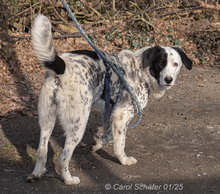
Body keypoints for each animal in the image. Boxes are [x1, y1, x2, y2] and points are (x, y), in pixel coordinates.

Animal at [27, 14, 192, 185]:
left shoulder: (109, 111)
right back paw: (68, 179)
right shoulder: (121, 116)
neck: (142, 71)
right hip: (78, 123)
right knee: (63, 157)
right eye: (160, 63)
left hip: (47, 119)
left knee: (41, 149)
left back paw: (37, 173)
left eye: (175, 64)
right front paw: (123, 160)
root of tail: (63, 66)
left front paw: (96, 145)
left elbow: (108, 135)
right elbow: (119, 143)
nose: (168, 79)